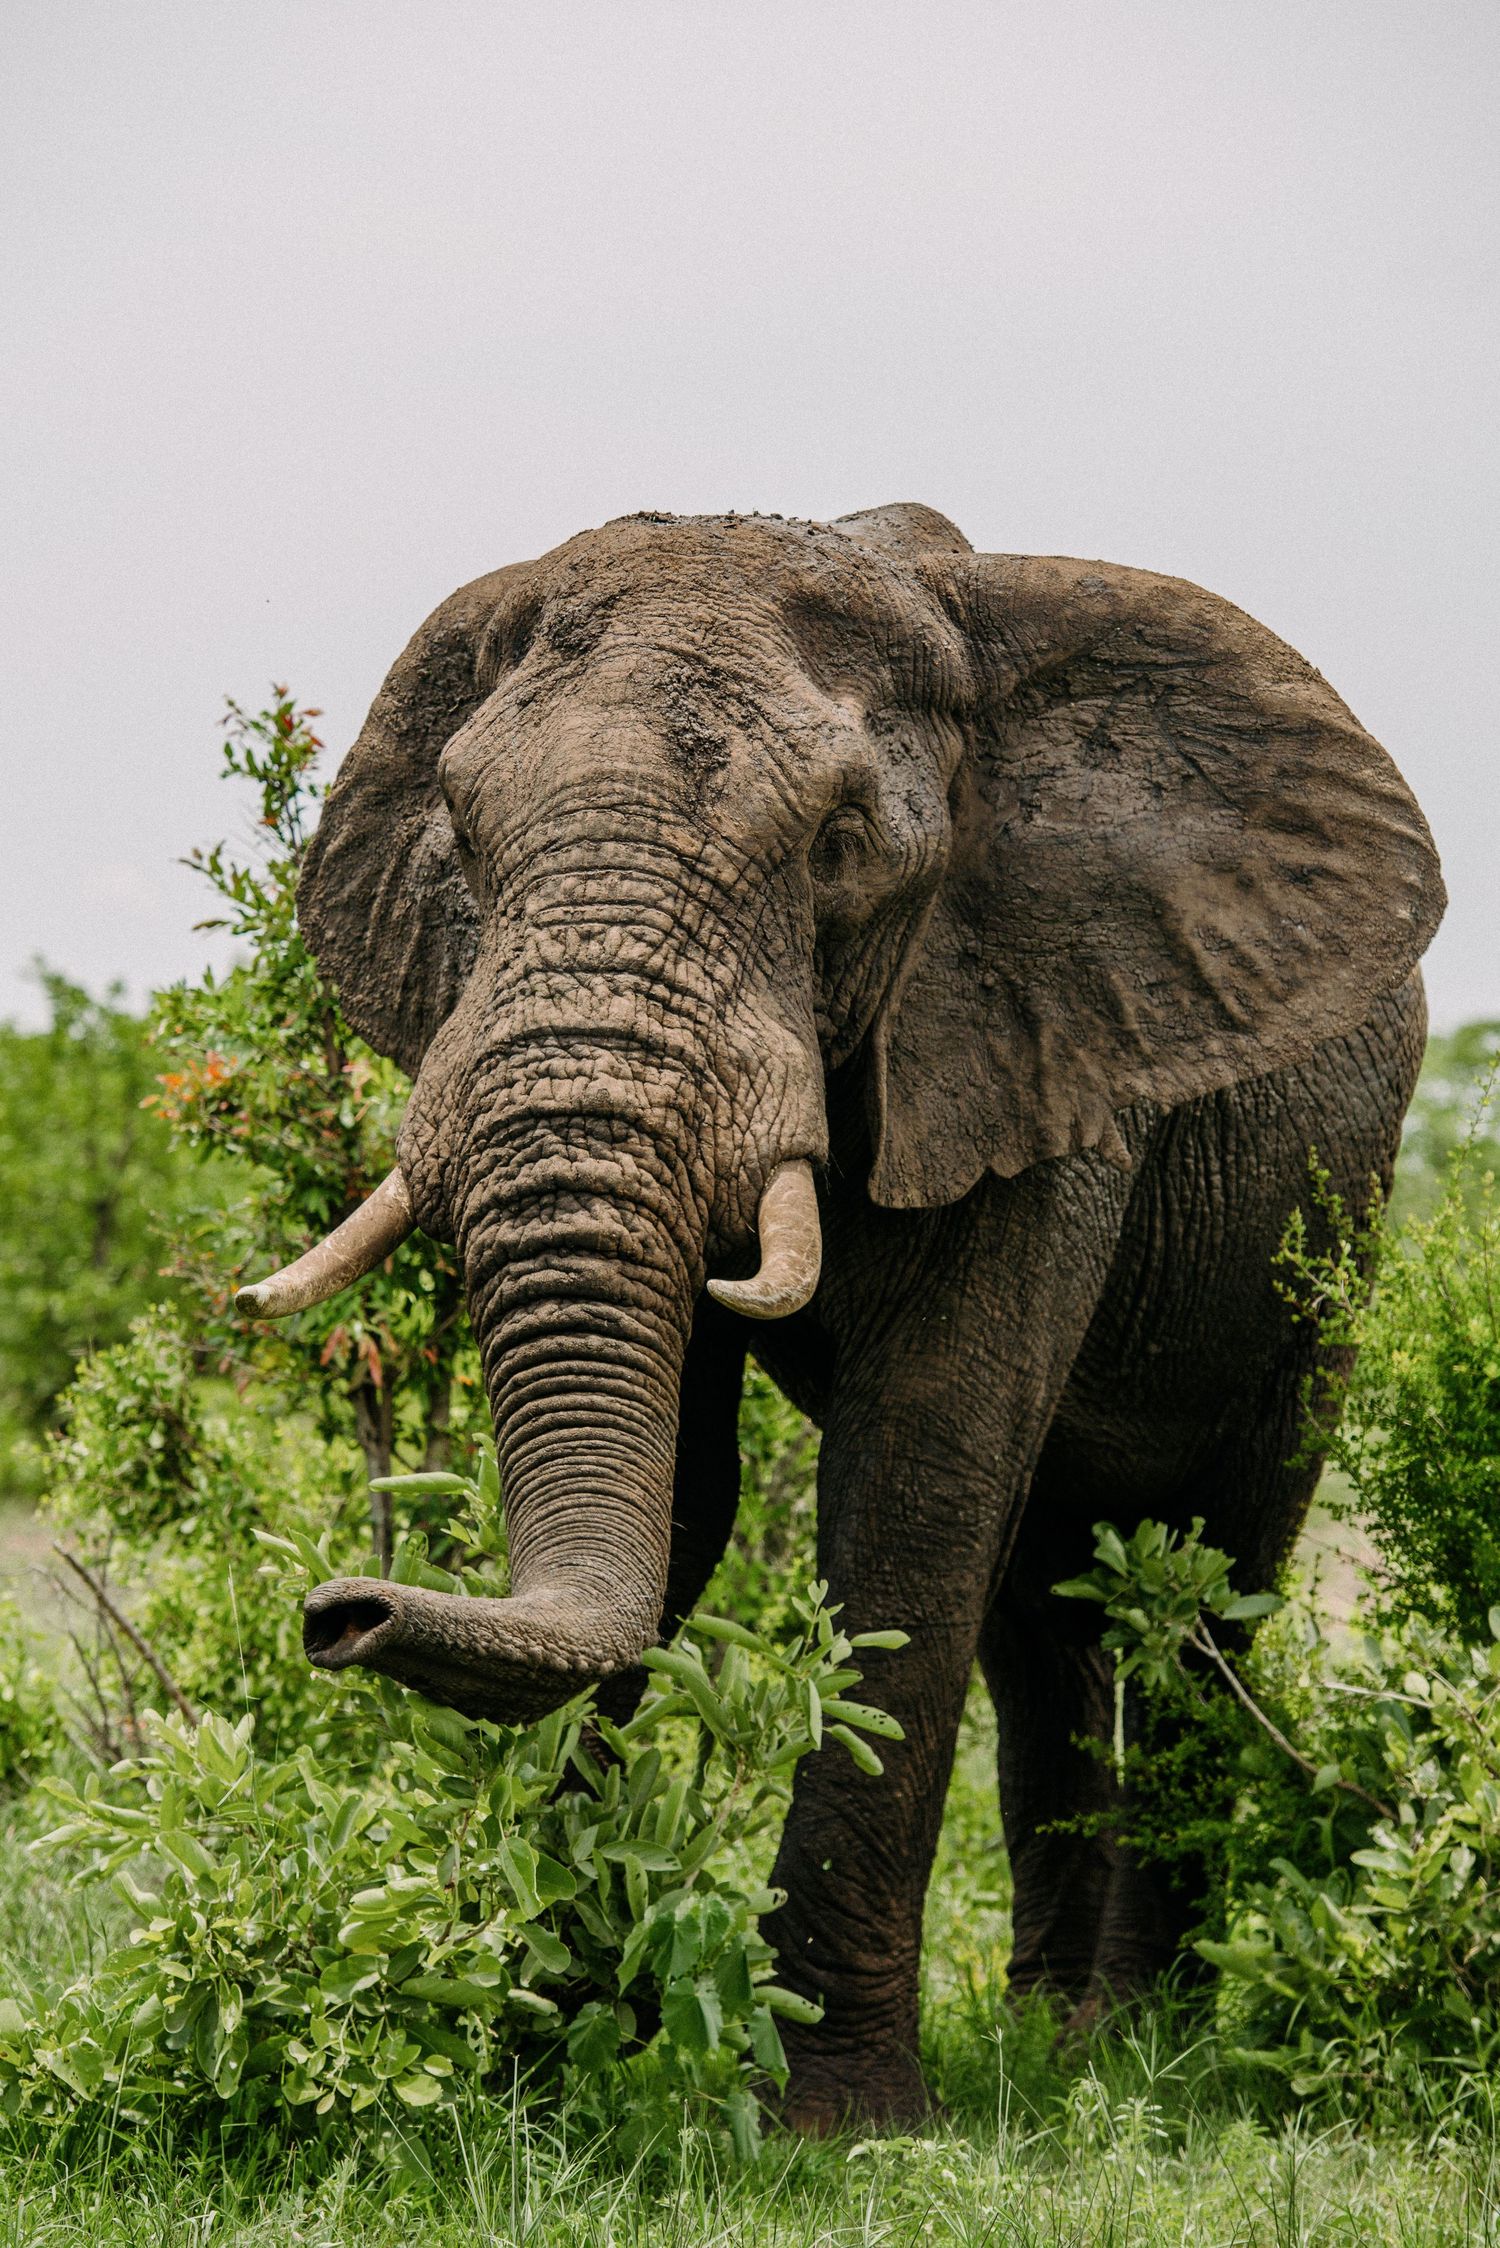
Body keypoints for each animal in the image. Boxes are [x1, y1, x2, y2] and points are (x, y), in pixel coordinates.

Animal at [237, 502, 1443, 2130]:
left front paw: (841, 2126)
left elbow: (917, 1475)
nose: (338, 1613)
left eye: (840, 849)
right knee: (1045, 1619)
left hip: (1328, 1233)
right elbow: (688, 1490)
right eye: (463, 841)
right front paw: (538, 2061)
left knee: (1209, 1582)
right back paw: (1058, 2034)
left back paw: (1152, 2045)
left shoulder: (1041, 1040)